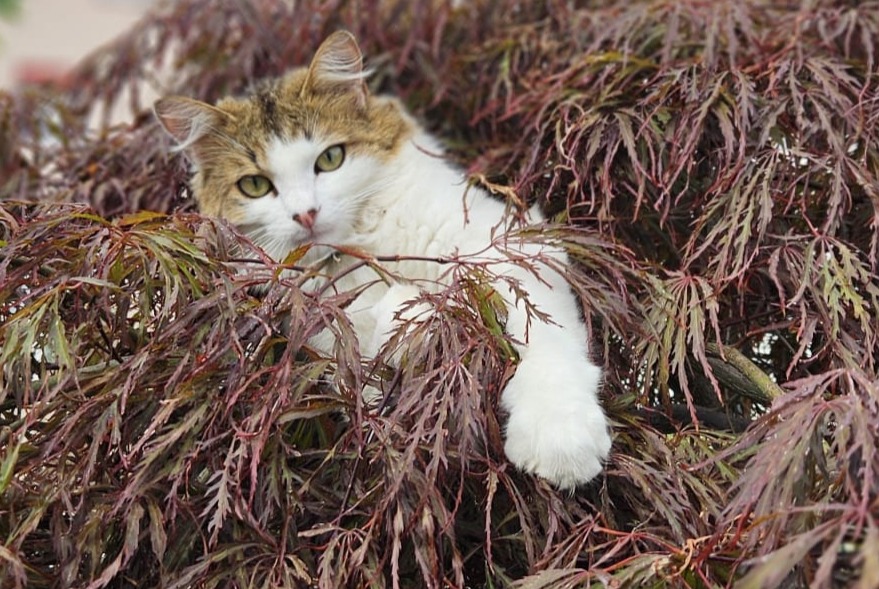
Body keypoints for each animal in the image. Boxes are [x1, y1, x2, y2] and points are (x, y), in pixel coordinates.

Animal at [155, 29, 612, 490]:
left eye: (330, 159)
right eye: (254, 185)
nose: (306, 214)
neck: (367, 246)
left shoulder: (512, 245)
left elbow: (543, 338)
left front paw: (559, 437)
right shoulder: (329, 332)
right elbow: (384, 348)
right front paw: (411, 317)